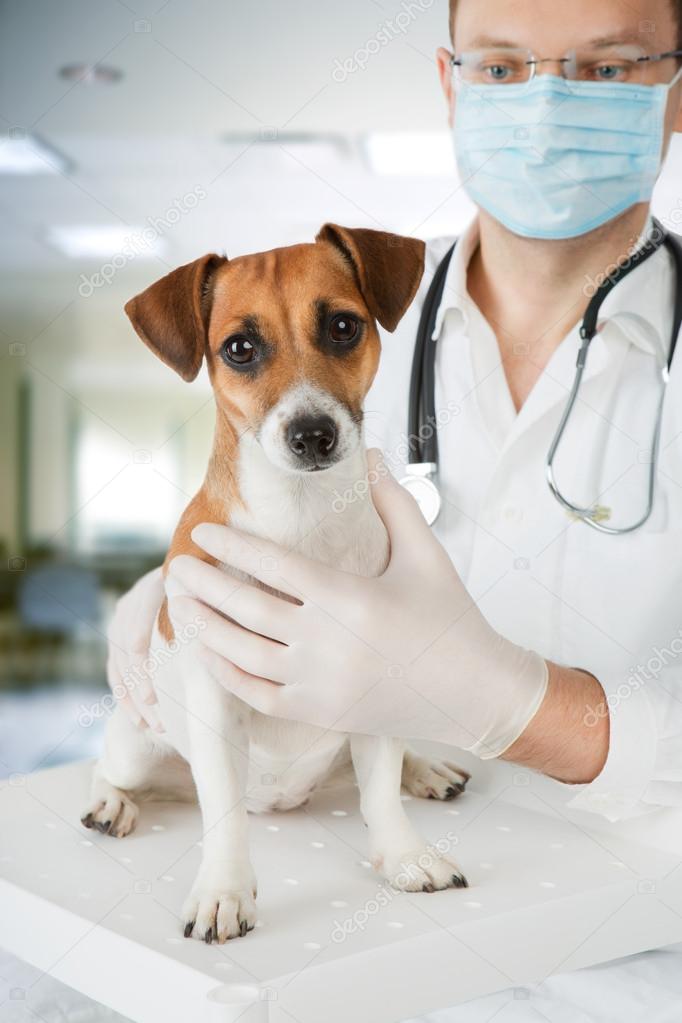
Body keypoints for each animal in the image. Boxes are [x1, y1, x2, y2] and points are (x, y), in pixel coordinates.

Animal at [81, 224, 470, 941]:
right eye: (239, 347)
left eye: (343, 326)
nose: (312, 434)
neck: (299, 520)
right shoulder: (213, 705)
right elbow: (223, 814)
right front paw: (223, 890)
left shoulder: (371, 678)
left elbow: (380, 792)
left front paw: (404, 854)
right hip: (136, 744)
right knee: (113, 768)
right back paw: (110, 803)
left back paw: (424, 768)